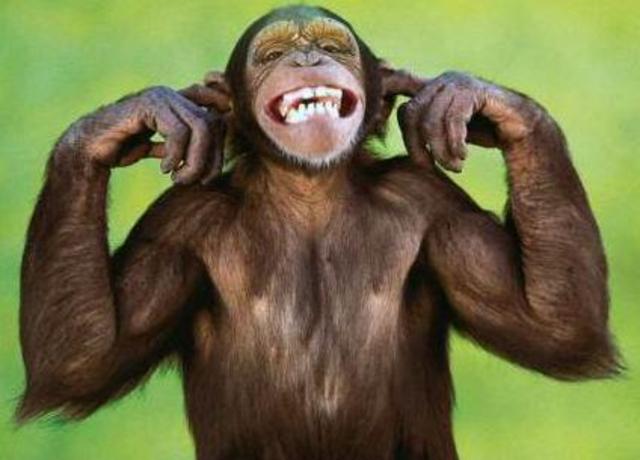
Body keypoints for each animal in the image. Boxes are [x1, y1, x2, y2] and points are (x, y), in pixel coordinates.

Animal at [16, 5, 620, 459]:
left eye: (333, 47)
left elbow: (551, 327)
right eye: (272, 54)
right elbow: (82, 359)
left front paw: (468, 97)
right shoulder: (176, 227)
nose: (307, 57)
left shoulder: (436, 207)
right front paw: (132, 118)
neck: (309, 193)